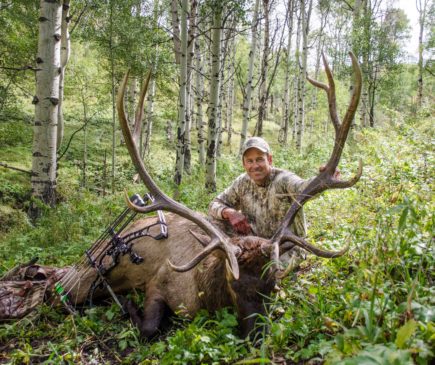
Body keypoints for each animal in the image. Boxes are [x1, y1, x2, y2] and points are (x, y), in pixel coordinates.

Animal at [59, 52, 362, 338]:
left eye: (273, 284)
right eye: (232, 283)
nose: (257, 336)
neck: (203, 294)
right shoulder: (159, 282)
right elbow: (149, 328)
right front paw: (128, 305)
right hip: (83, 279)